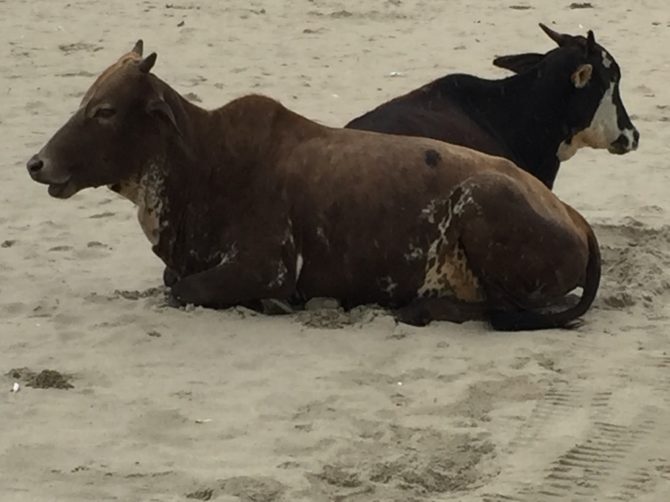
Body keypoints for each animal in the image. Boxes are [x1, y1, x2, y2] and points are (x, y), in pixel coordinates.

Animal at [26, 42, 604, 330]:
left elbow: (183, 290)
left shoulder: (265, 267)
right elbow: (173, 281)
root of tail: (576, 219)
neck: (204, 164)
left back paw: (419, 309)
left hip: (479, 202)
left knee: (502, 310)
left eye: (104, 111)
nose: (37, 163)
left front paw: (276, 305)